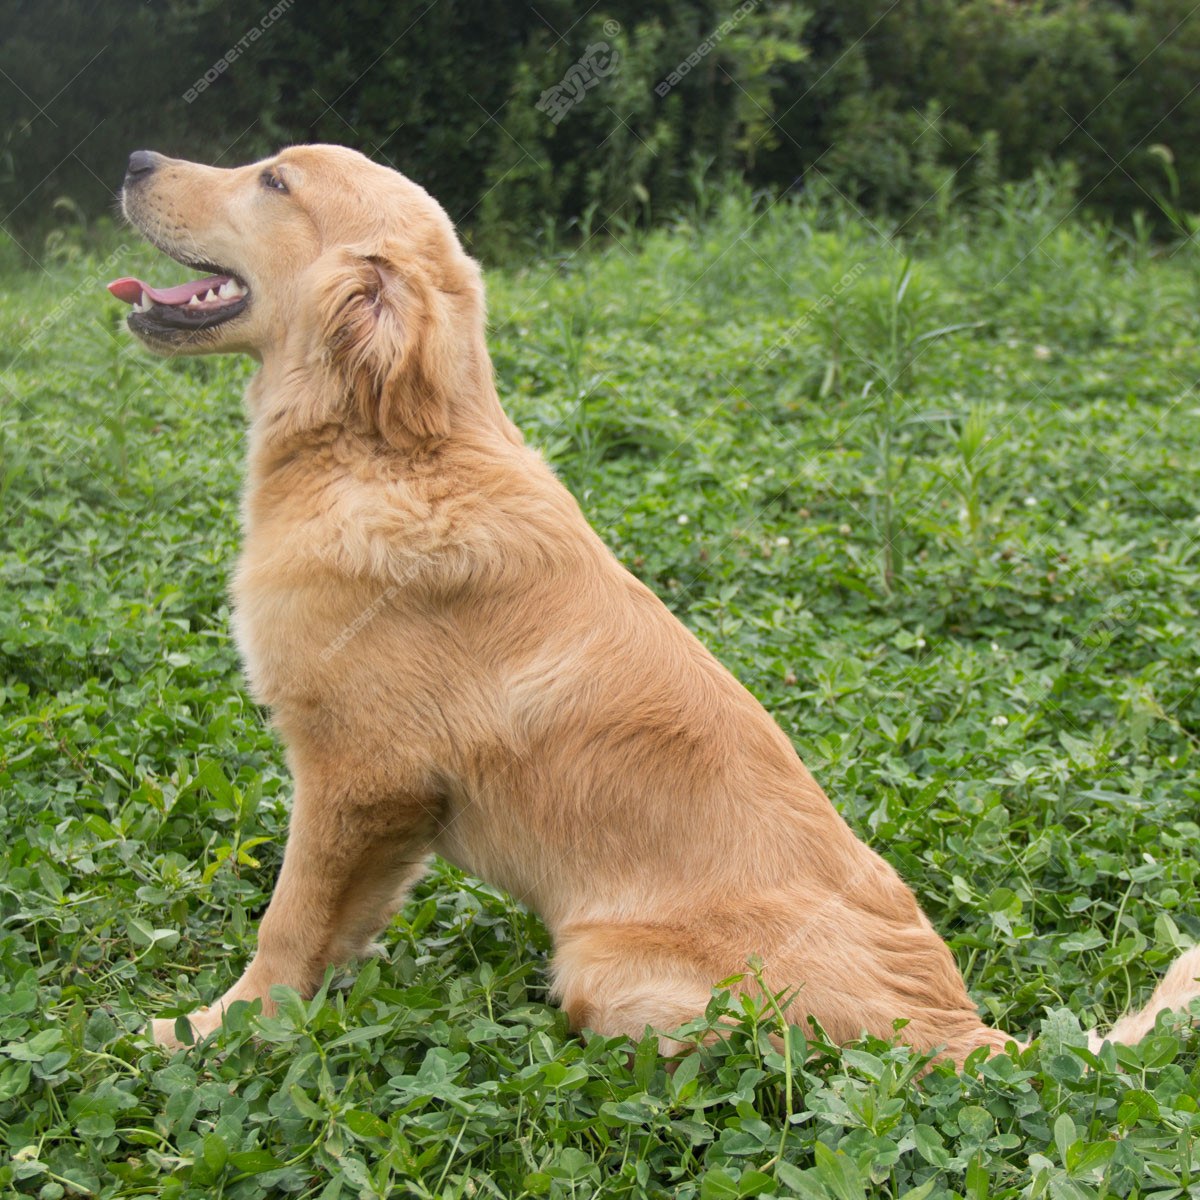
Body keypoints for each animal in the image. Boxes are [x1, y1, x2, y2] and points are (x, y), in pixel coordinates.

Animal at [110, 147, 1200, 1060]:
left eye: (275, 181)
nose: (136, 158)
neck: (383, 450)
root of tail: (967, 1031)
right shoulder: (389, 807)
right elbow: (337, 929)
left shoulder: (357, 774)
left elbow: (287, 922)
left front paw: (208, 1029)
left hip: (605, 967)